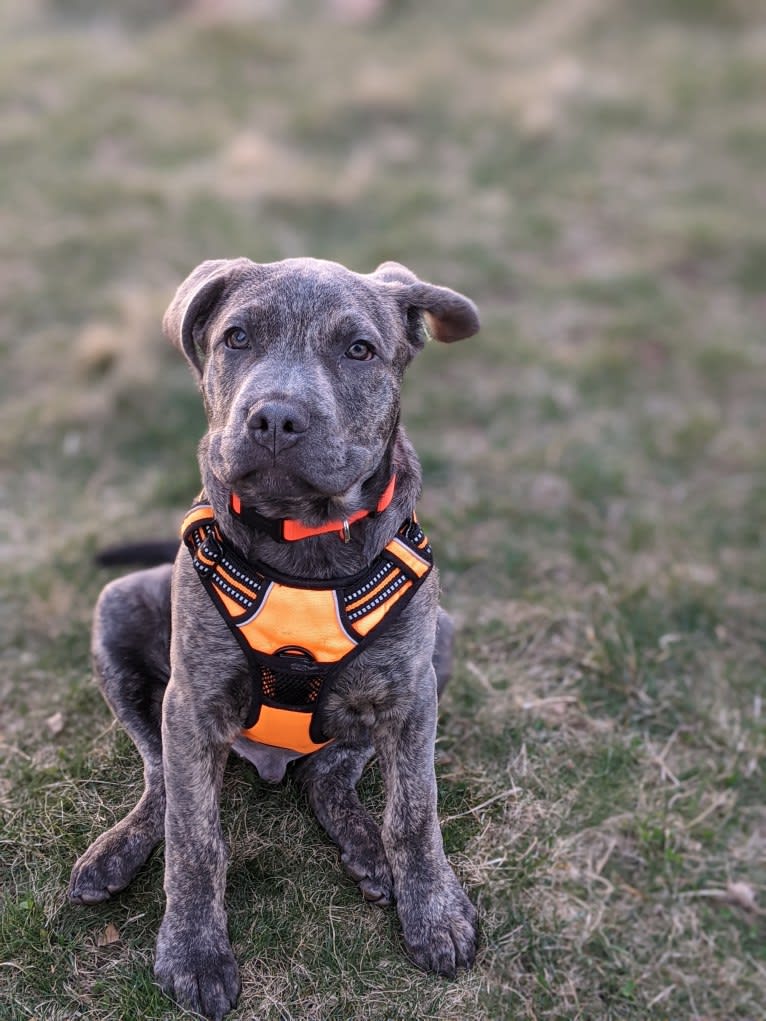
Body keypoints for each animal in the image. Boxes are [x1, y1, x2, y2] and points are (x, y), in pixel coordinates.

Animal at [68, 257, 482, 1021]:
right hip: (119, 613)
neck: (303, 543)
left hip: (436, 642)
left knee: (330, 772)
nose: (276, 417)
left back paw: (365, 846)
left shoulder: (411, 696)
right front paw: (194, 950)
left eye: (359, 350)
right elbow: (196, 838)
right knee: (160, 779)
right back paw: (117, 850)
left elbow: (414, 811)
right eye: (236, 337)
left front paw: (434, 911)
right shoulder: (193, 702)